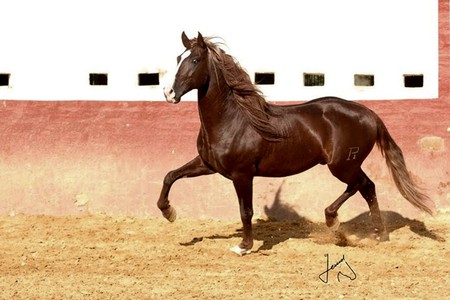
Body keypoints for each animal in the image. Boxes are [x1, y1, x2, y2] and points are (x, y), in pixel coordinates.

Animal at [159, 31, 432, 254]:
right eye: (178, 58)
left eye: (195, 60)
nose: (169, 93)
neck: (233, 119)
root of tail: (370, 114)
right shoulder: (208, 165)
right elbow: (170, 175)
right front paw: (169, 212)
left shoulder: (242, 174)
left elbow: (246, 211)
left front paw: (244, 246)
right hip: (348, 165)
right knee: (368, 188)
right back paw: (378, 235)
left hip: (342, 166)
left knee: (360, 185)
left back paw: (334, 221)